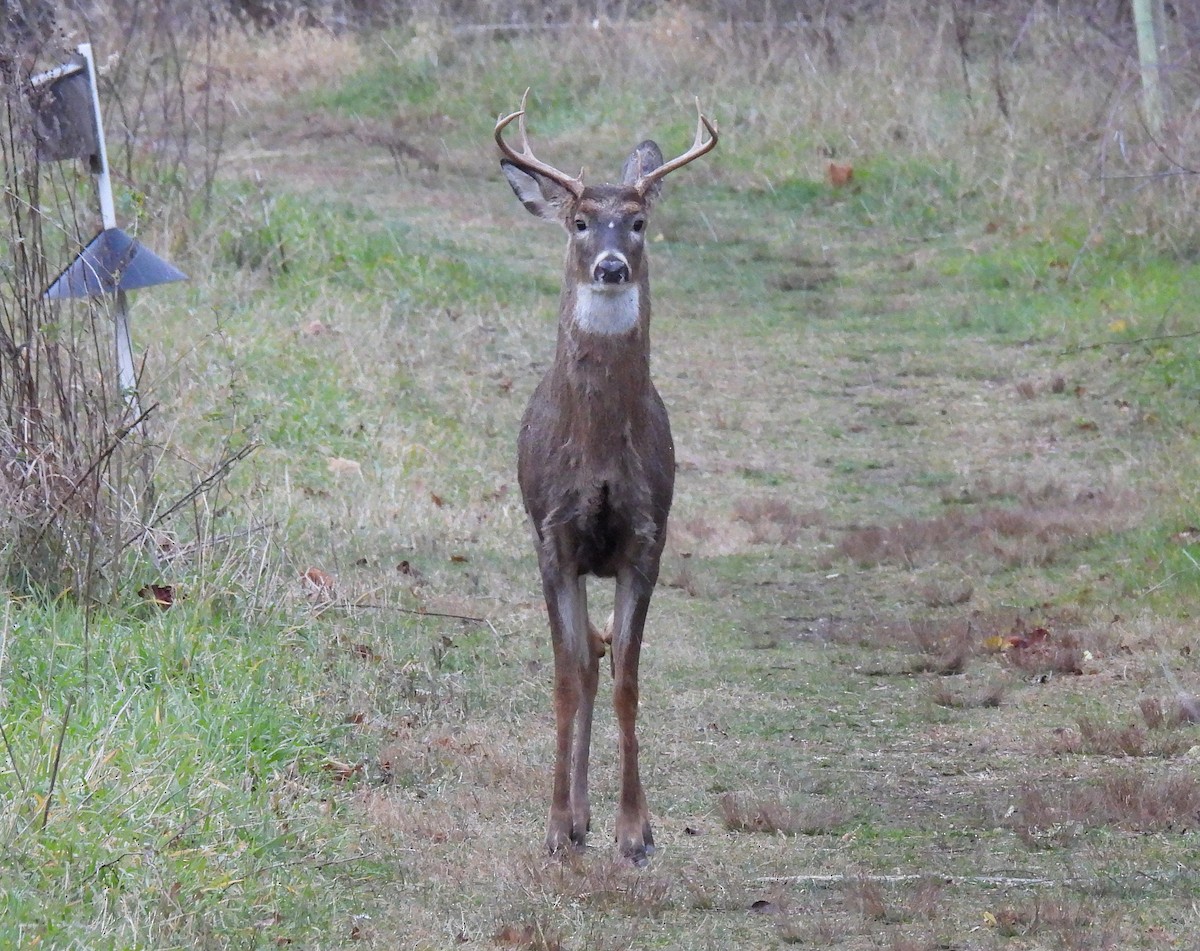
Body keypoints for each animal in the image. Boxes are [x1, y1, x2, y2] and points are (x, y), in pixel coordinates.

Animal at [495, 91, 717, 865]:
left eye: (640, 221)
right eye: (581, 221)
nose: (614, 265)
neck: (595, 460)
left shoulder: (645, 538)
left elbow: (627, 676)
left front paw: (634, 831)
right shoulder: (552, 536)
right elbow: (568, 678)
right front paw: (558, 826)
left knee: (603, 657)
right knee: (584, 661)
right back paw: (576, 817)